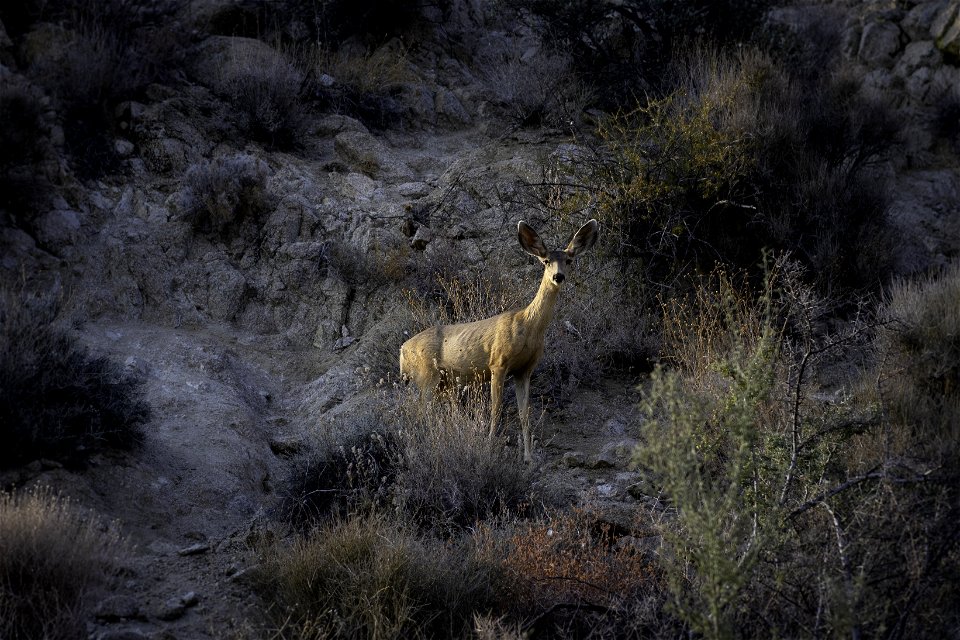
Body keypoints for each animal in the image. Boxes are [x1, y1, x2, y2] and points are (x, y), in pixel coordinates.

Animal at [400, 219, 600, 460]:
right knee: (417, 411)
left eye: (569, 260)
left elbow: (525, 414)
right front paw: (489, 447)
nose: (558, 276)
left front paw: (528, 458)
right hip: (426, 375)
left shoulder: (524, 370)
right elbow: (496, 409)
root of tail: (402, 350)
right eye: (546, 261)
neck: (528, 327)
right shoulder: (498, 362)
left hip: (443, 383)